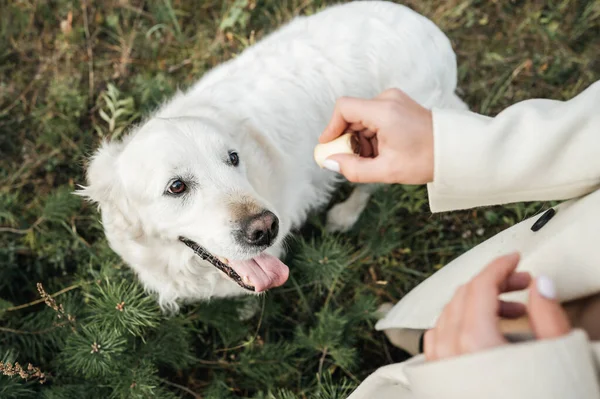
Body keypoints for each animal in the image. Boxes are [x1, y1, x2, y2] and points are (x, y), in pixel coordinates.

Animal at [77, 0, 466, 312]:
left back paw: (344, 214)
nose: (266, 229)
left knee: (370, 186)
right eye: (176, 186)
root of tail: (434, 33)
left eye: (233, 158)